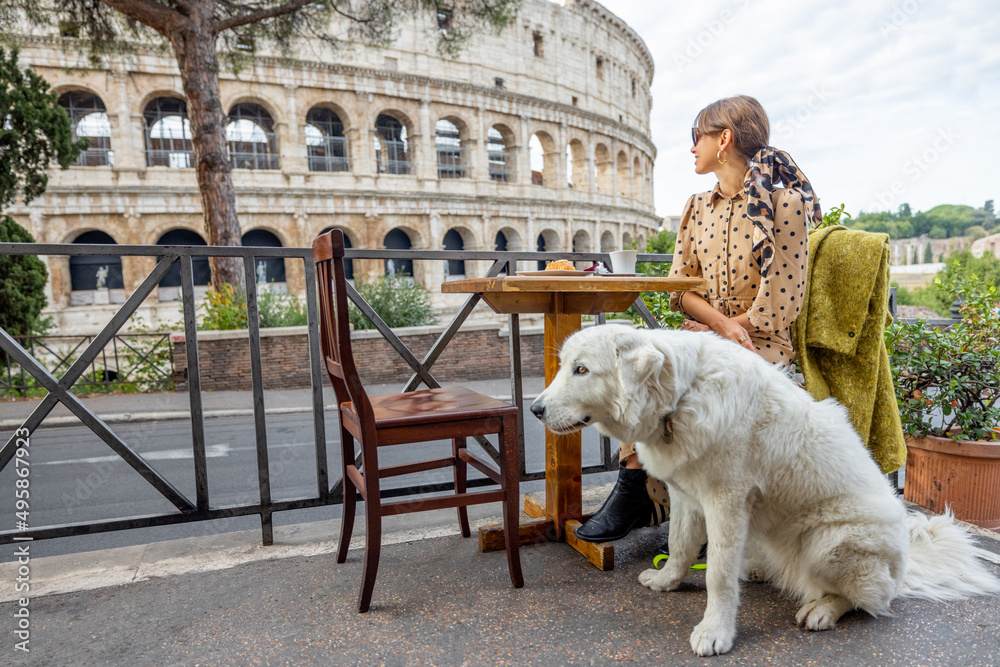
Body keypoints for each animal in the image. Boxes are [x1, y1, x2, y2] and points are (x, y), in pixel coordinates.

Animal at [532, 326, 1000, 656]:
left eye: (581, 370)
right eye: (565, 366)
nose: (535, 409)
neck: (679, 399)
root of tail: (904, 563)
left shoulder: (725, 502)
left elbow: (717, 575)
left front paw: (715, 633)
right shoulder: (686, 496)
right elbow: (680, 545)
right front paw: (667, 581)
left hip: (829, 541)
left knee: (869, 600)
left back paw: (823, 609)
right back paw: (759, 570)